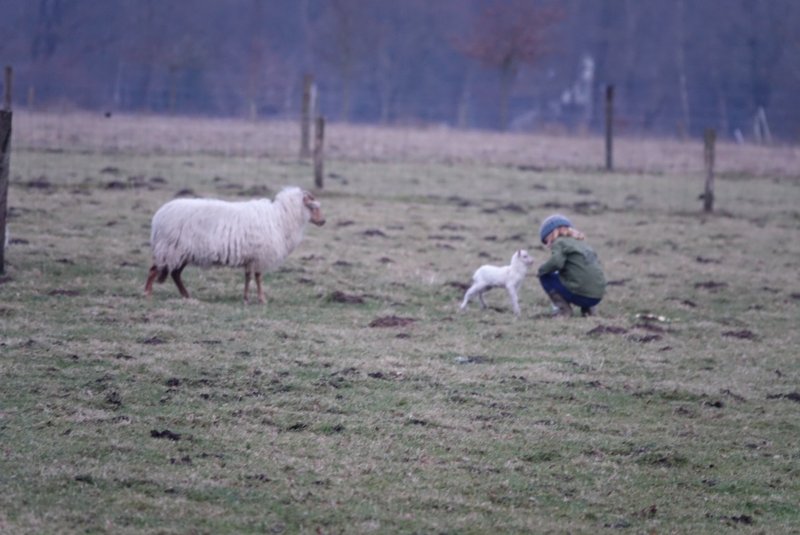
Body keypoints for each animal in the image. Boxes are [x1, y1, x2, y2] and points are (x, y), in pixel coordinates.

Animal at [144, 186, 324, 304]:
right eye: (313, 207)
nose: (323, 221)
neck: (281, 217)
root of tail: (159, 216)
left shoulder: (251, 257)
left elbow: (248, 277)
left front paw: (246, 298)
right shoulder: (259, 256)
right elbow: (257, 277)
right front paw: (261, 299)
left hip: (181, 252)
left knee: (175, 274)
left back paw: (186, 296)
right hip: (170, 249)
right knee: (155, 270)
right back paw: (148, 293)